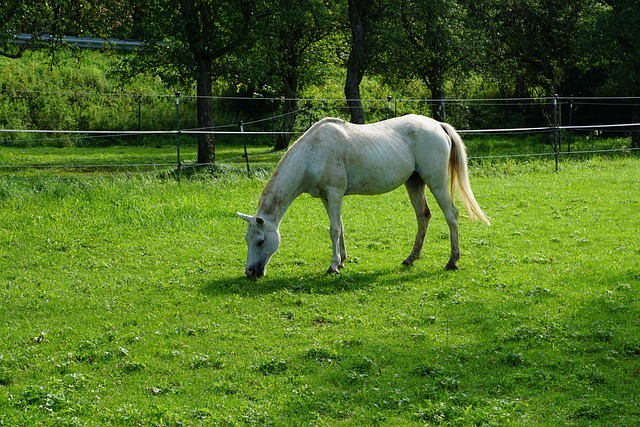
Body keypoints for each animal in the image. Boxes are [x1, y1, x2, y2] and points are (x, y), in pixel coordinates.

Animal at [236, 113, 490, 278]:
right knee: (423, 216)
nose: (250, 272)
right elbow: (339, 227)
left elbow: (333, 229)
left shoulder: (335, 193)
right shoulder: (327, 198)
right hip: (414, 183)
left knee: (452, 215)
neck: (313, 152)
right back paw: (412, 257)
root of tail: (437, 124)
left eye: (260, 241)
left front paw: (333, 266)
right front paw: (343, 260)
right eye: (247, 239)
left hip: (436, 182)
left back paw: (452, 261)